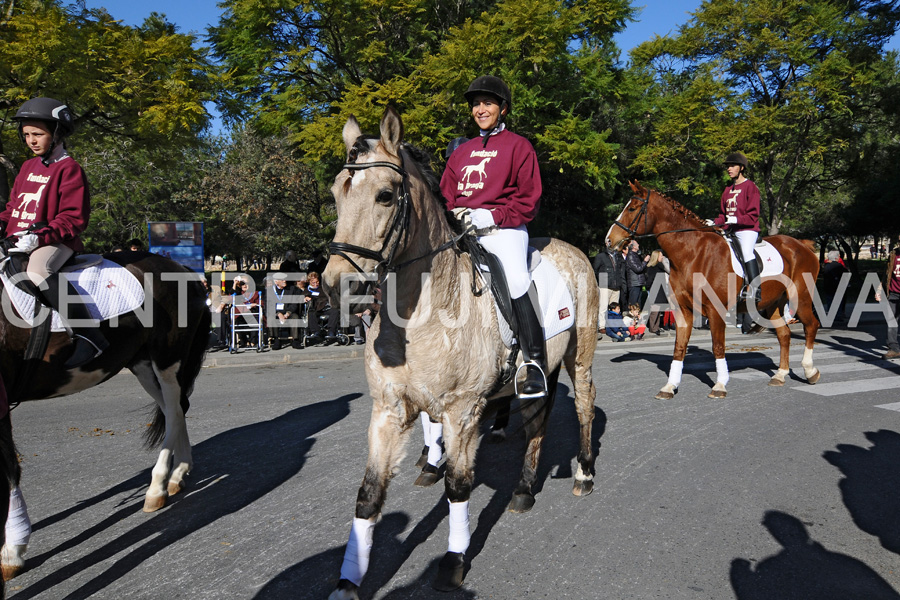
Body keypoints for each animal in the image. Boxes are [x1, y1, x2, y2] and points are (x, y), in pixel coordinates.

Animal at [0, 250, 209, 592]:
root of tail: (179, 268)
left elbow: (8, 470)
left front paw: (13, 551)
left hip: (167, 358)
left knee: (175, 411)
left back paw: (158, 486)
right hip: (141, 363)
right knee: (174, 410)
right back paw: (178, 473)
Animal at [322, 106, 596, 596]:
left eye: (386, 196)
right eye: (337, 192)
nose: (339, 287)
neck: (422, 312)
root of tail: (572, 249)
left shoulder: (463, 412)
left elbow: (458, 487)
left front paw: (453, 560)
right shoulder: (389, 409)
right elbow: (369, 494)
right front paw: (348, 582)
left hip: (579, 356)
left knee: (584, 402)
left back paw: (583, 473)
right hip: (541, 371)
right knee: (537, 420)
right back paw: (524, 489)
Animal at [608, 180, 820, 400]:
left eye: (632, 208)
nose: (609, 240)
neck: (693, 253)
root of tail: (801, 245)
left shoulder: (715, 310)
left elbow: (718, 346)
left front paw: (719, 385)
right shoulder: (683, 311)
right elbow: (679, 347)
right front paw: (669, 386)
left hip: (801, 298)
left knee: (811, 326)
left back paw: (809, 371)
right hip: (773, 304)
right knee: (784, 335)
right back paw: (780, 375)